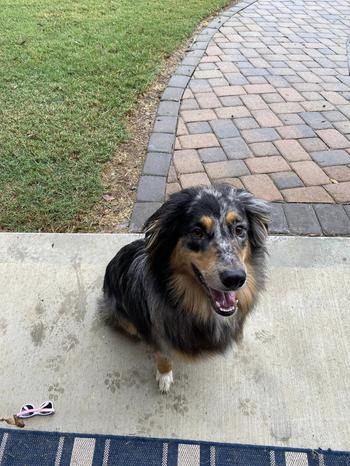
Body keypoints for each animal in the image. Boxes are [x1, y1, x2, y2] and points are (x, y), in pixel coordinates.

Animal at [100, 185, 270, 394]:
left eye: (239, 230)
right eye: (197, 232)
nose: (235, 279)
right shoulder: (158, 333)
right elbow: (163, 356)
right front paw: (165, 376)